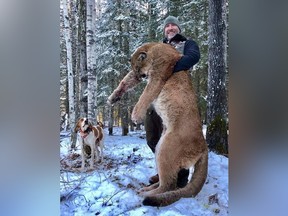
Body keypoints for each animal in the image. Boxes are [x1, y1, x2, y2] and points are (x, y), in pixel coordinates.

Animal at [107, 42, 208, 206]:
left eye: (138, 68)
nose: (139, 76)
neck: (155, 48)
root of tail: (204, 146)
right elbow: (125, 80)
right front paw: (113, 97)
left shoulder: (158, 76)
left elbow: (145, 95)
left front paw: (136, 116)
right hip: (161, 146)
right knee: (166, 180)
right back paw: (148, 187)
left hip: (166, 150)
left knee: (169, 184)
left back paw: (145, 194)